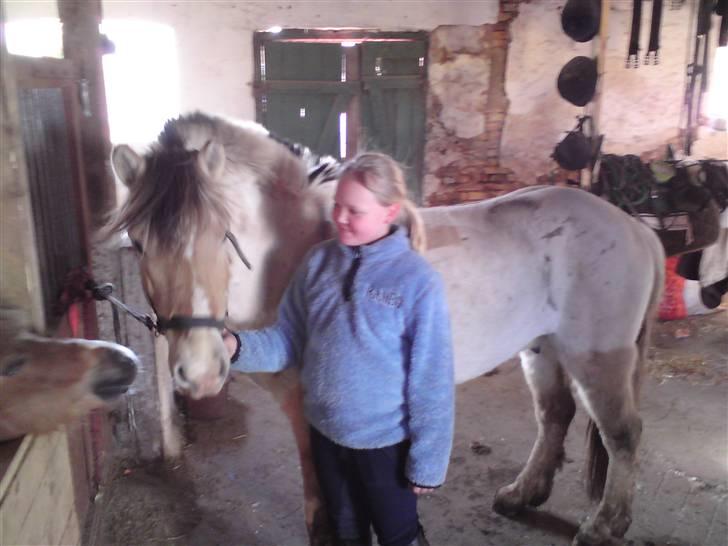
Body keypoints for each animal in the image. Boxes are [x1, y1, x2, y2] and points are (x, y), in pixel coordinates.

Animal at [108, 112, 665, 546]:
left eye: (222, 234)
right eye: (138, 243)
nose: (200, 371)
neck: (293, 246)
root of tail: (634, 226)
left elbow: (322, 510)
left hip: (598, 358)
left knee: (623, 434)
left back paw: (605, 526)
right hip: (542, 348)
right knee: (555, 416)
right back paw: (522, 494)